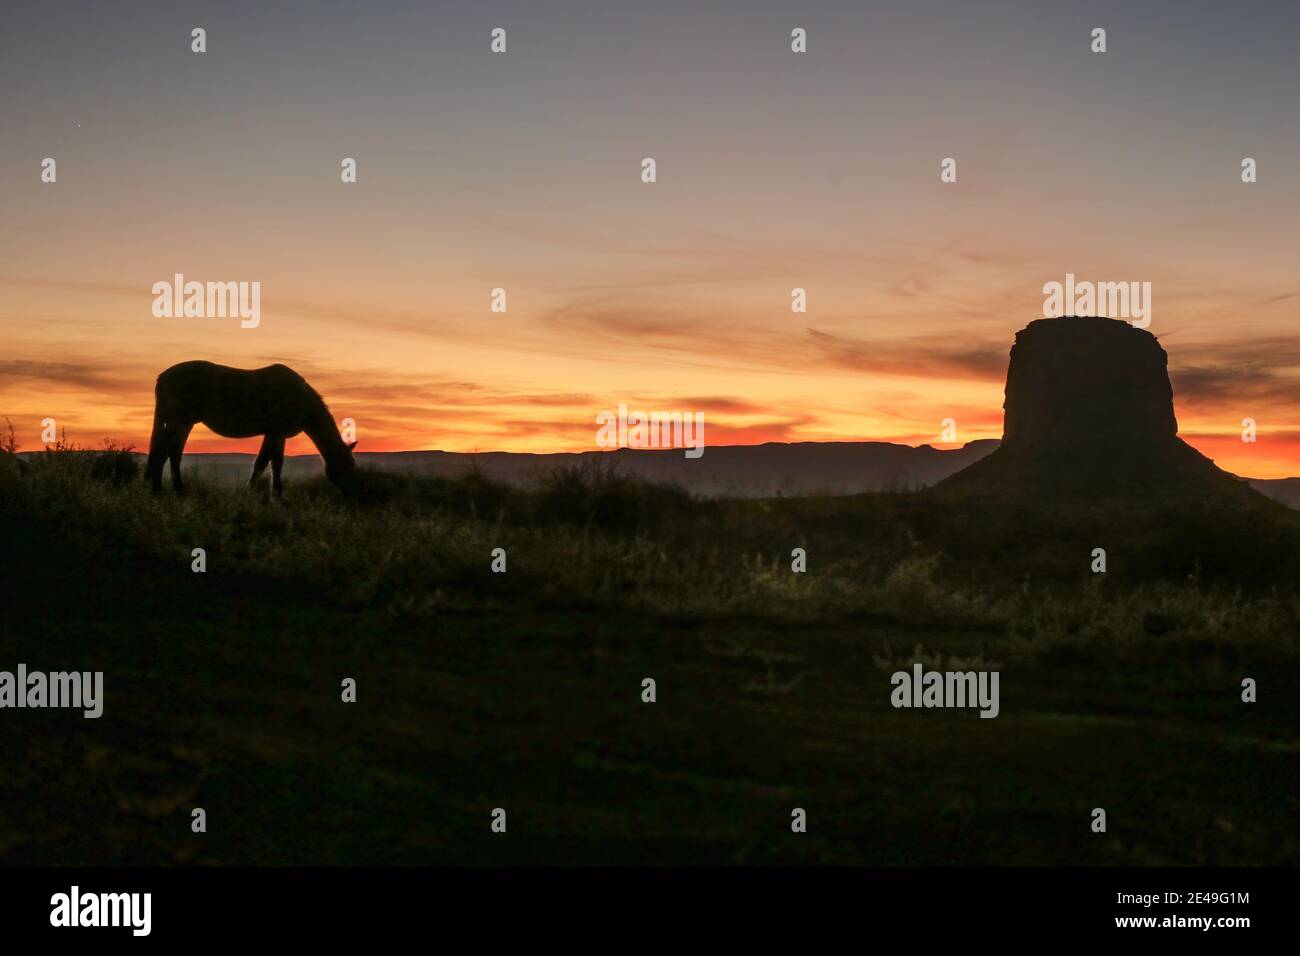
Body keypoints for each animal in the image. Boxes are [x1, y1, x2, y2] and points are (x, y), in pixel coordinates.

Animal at [147, 358, 356, 494]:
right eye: (346, 465)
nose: (352, 493)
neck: (299, 397)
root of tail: (162, 377)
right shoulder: (276, 433)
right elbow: (269, 463)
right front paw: (270, 495)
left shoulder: (274, 434)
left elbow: (268, 462)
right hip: (179, 421)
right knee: (166, 452)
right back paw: (164, 490)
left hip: (183, 423)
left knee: (169, 452)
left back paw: (167, 489)